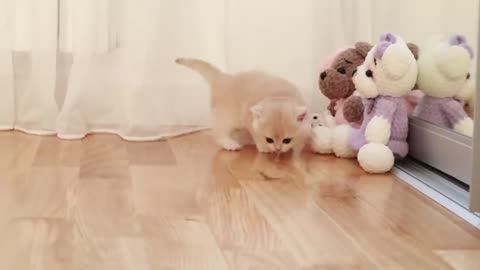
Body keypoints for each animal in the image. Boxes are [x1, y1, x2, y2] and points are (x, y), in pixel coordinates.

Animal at [174, 58, 310, 155]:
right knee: (219, 132)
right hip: (228, 116)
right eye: (269, 139)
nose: (277, 149)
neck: (279, 95)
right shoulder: (248, 120)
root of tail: (223, 77)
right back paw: (230, 144)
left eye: (287, 140)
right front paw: (263, 147)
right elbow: (256, 135)